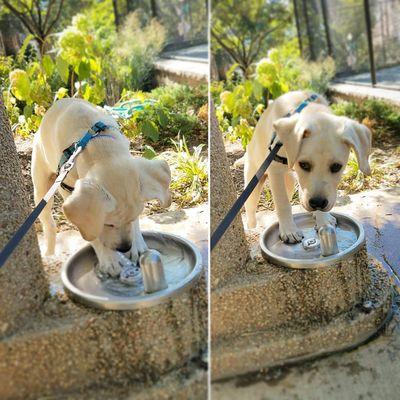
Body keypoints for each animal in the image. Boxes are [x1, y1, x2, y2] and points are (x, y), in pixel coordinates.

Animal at [32, 98, 171, 276]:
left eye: (133, 218)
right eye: (108, 224)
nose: (124, 247)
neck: (99, 148)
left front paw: (137, 245)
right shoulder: (69, 190)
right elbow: (92, 232)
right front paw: (109, 259)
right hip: (41, 188)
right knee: (48, 223)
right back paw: (49, 254)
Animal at [244, 90, 372, 244]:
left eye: (336, 166)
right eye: (304, 164)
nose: (317, 203)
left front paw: (323, 220)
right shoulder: (275, 172)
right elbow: (282, 203)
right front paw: (289, 230)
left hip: (289, 182)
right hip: (253, 184)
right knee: (251, 211)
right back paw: (252, 228)